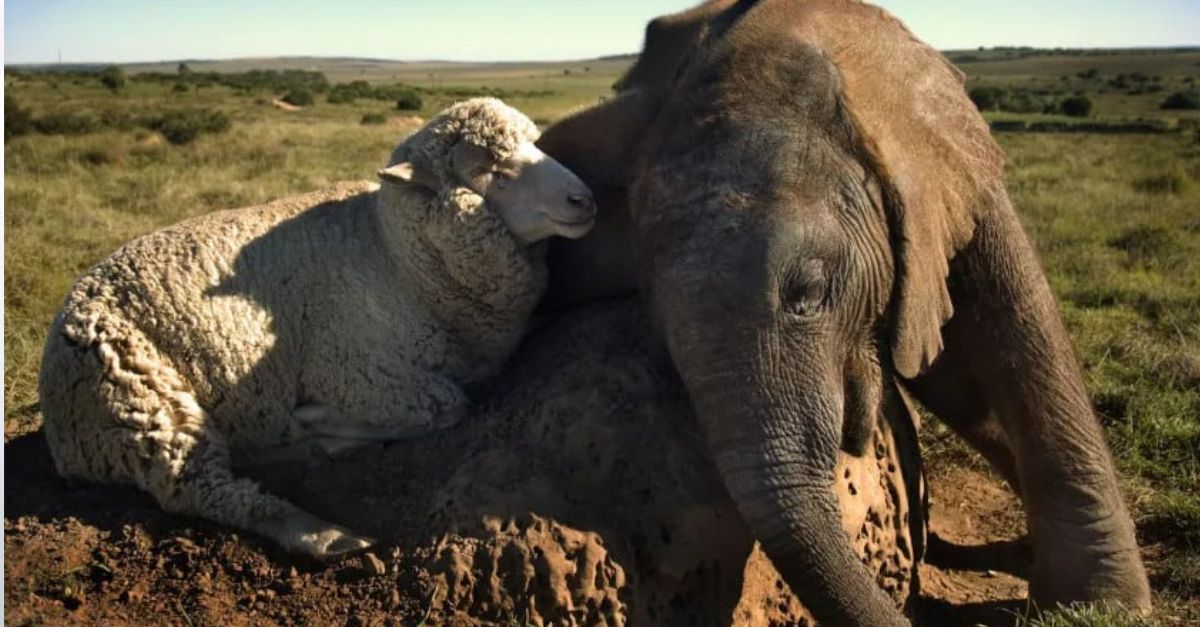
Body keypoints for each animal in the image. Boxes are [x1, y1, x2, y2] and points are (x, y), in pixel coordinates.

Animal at [35, 97, 597, 557]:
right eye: (491, 171)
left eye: (535, 144)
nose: (584, 200)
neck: (396, 256)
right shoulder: (356, 373)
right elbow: (447, 404)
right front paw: (318, 423)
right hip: (137, 397)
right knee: (198, 488)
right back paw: (323, 527)